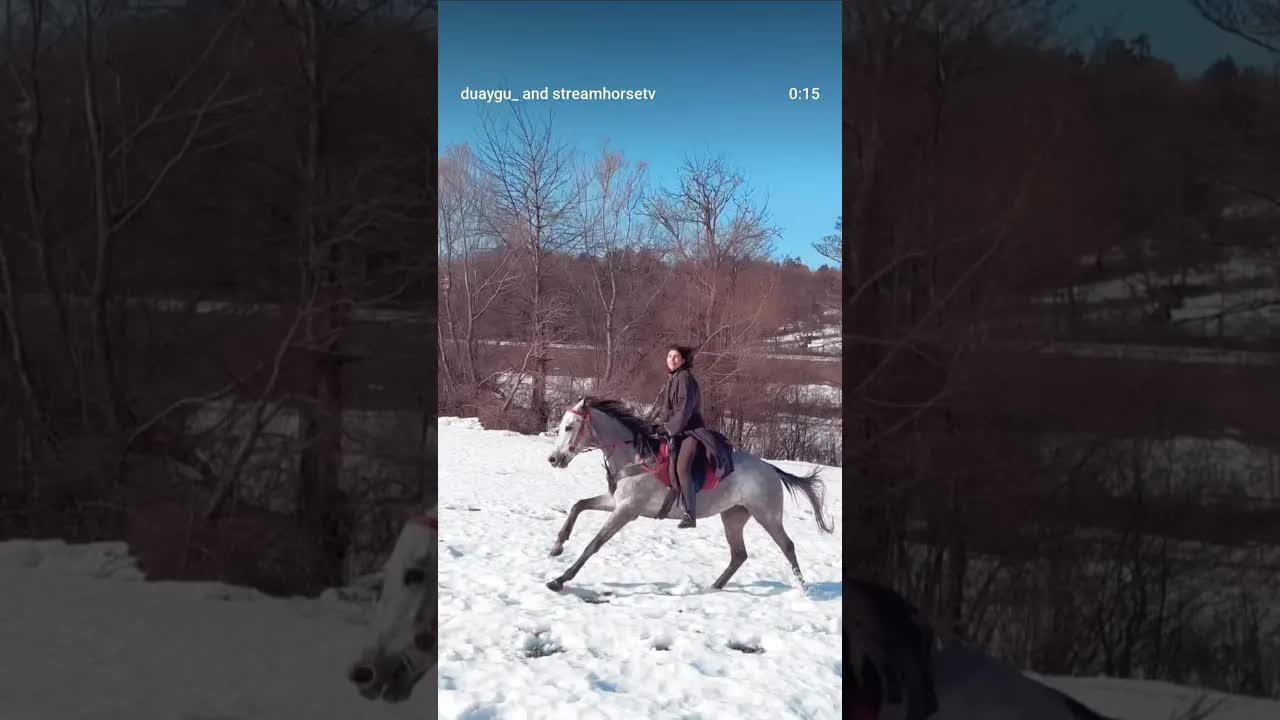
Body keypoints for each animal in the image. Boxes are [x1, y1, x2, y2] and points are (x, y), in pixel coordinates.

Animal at [543, 396, 834, 593]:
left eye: (569, 427)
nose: (554, 459)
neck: (635, 457)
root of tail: (771, 469)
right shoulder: (616, 503)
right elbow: (578, 506)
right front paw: (557, 546)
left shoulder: (627, 511)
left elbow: (594, 544)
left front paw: (560, 579)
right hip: (733, 516)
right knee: (739, 554)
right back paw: (715, 586)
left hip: (767, 515)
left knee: (787, 546)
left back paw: (804, 589)